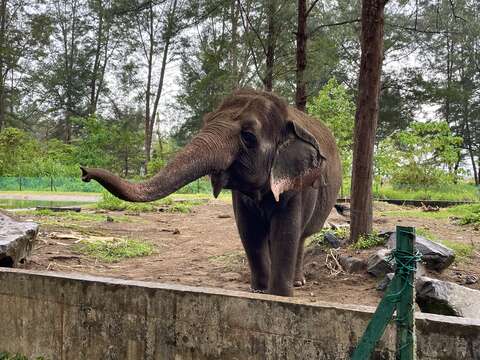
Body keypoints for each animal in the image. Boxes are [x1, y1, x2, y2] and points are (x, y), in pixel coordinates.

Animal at [81, 88, 342, 296]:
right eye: (207, 121)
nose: (84, 172)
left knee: (301, 236)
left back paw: (297, 283)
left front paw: (279, 295)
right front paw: (259, 291)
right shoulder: (242, 198)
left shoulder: (297, 185)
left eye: (248, 136)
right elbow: (249, 231)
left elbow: (285, 232)